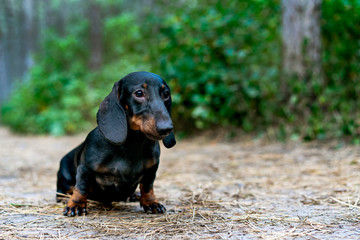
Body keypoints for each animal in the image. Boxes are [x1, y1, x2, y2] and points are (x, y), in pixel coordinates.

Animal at [56, 71, 176, 216]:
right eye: (139, 93)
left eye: (166, 93)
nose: (166, 128)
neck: (132, 143)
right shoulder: (85, 168)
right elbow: (81, 187)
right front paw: (76, 204)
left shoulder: (152, 169)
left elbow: (147, 187)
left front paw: (151, 202)